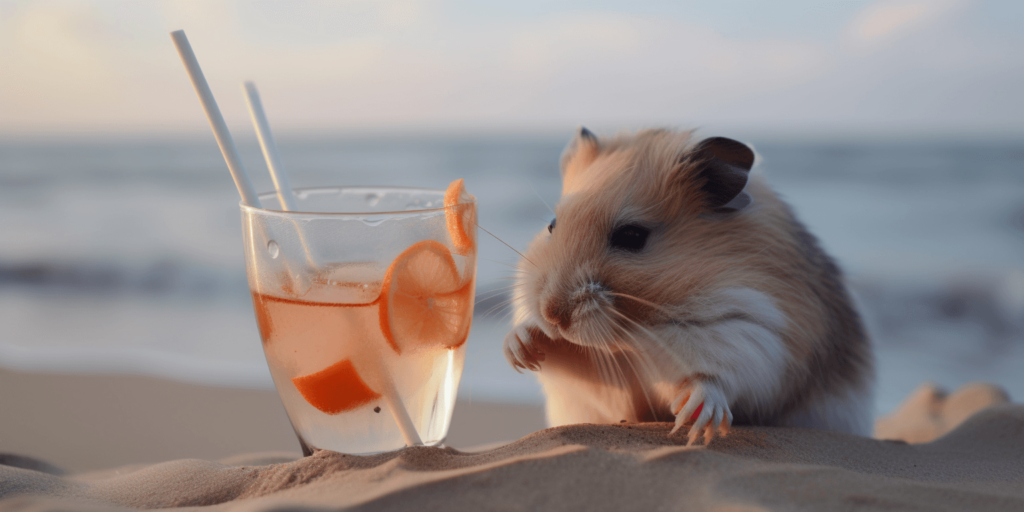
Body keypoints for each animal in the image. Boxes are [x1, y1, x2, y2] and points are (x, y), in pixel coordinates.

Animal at [503, 128, 874, 445]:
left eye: (632, 236)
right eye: (552, 225)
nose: (553, 315)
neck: (636, 334)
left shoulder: (758, 335)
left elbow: (718, 378)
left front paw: (694, 419)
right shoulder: (599, 378)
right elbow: (562, 357)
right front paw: (520, 348)